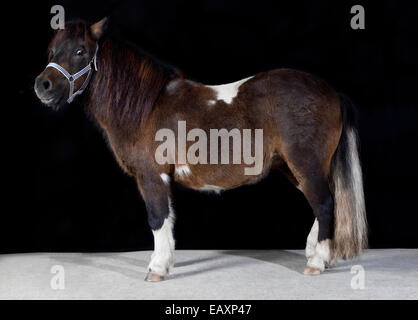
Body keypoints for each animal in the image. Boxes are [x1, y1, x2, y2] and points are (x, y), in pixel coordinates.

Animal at [34, 18, 366, 282]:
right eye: (52, 51)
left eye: (81, 51)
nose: (43, 85)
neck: (148, 107)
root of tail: (332, 93)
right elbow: (166, 219)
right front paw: (164, 262)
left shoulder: (152, 176)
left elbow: (157, 218)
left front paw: (157, 269)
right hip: (294, 167)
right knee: (325, 204)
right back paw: (316, 253)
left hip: (306, 165)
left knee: (324, 204)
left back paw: (317, 262)